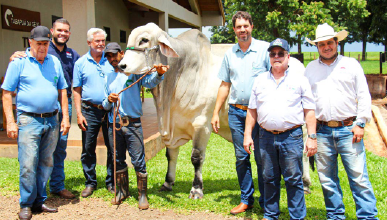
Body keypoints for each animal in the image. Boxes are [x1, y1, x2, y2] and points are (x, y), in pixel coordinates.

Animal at [118, 22, 312, 199]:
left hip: (301, 127)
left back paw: (305, 183)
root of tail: (297, 62)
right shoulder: (172, 127)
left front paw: (196, 190)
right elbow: (170, 155)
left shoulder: (202, 125)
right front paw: (167, 183)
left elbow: (196, 158)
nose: (121, 66)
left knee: (302, 153)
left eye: (144, 40)